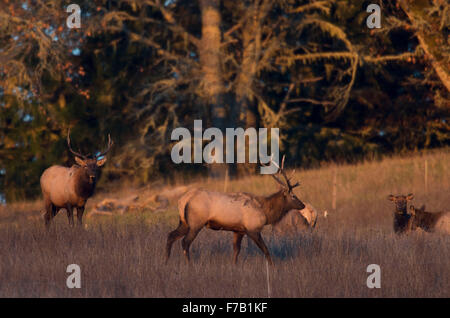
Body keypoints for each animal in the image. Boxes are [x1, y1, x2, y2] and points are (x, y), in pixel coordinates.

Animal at [167, 155, 308, 264]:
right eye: (293, 196)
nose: (303, 205)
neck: (266, 212)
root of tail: (182, 200)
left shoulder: (238, 230)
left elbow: (236, 251)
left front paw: (233, 267)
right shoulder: (252, 229)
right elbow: (265, 250)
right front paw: (272, 267)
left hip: (184, 222)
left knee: (171, 236)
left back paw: (166, 262)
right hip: (196, 222)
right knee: (185, 242)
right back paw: (189, 265)